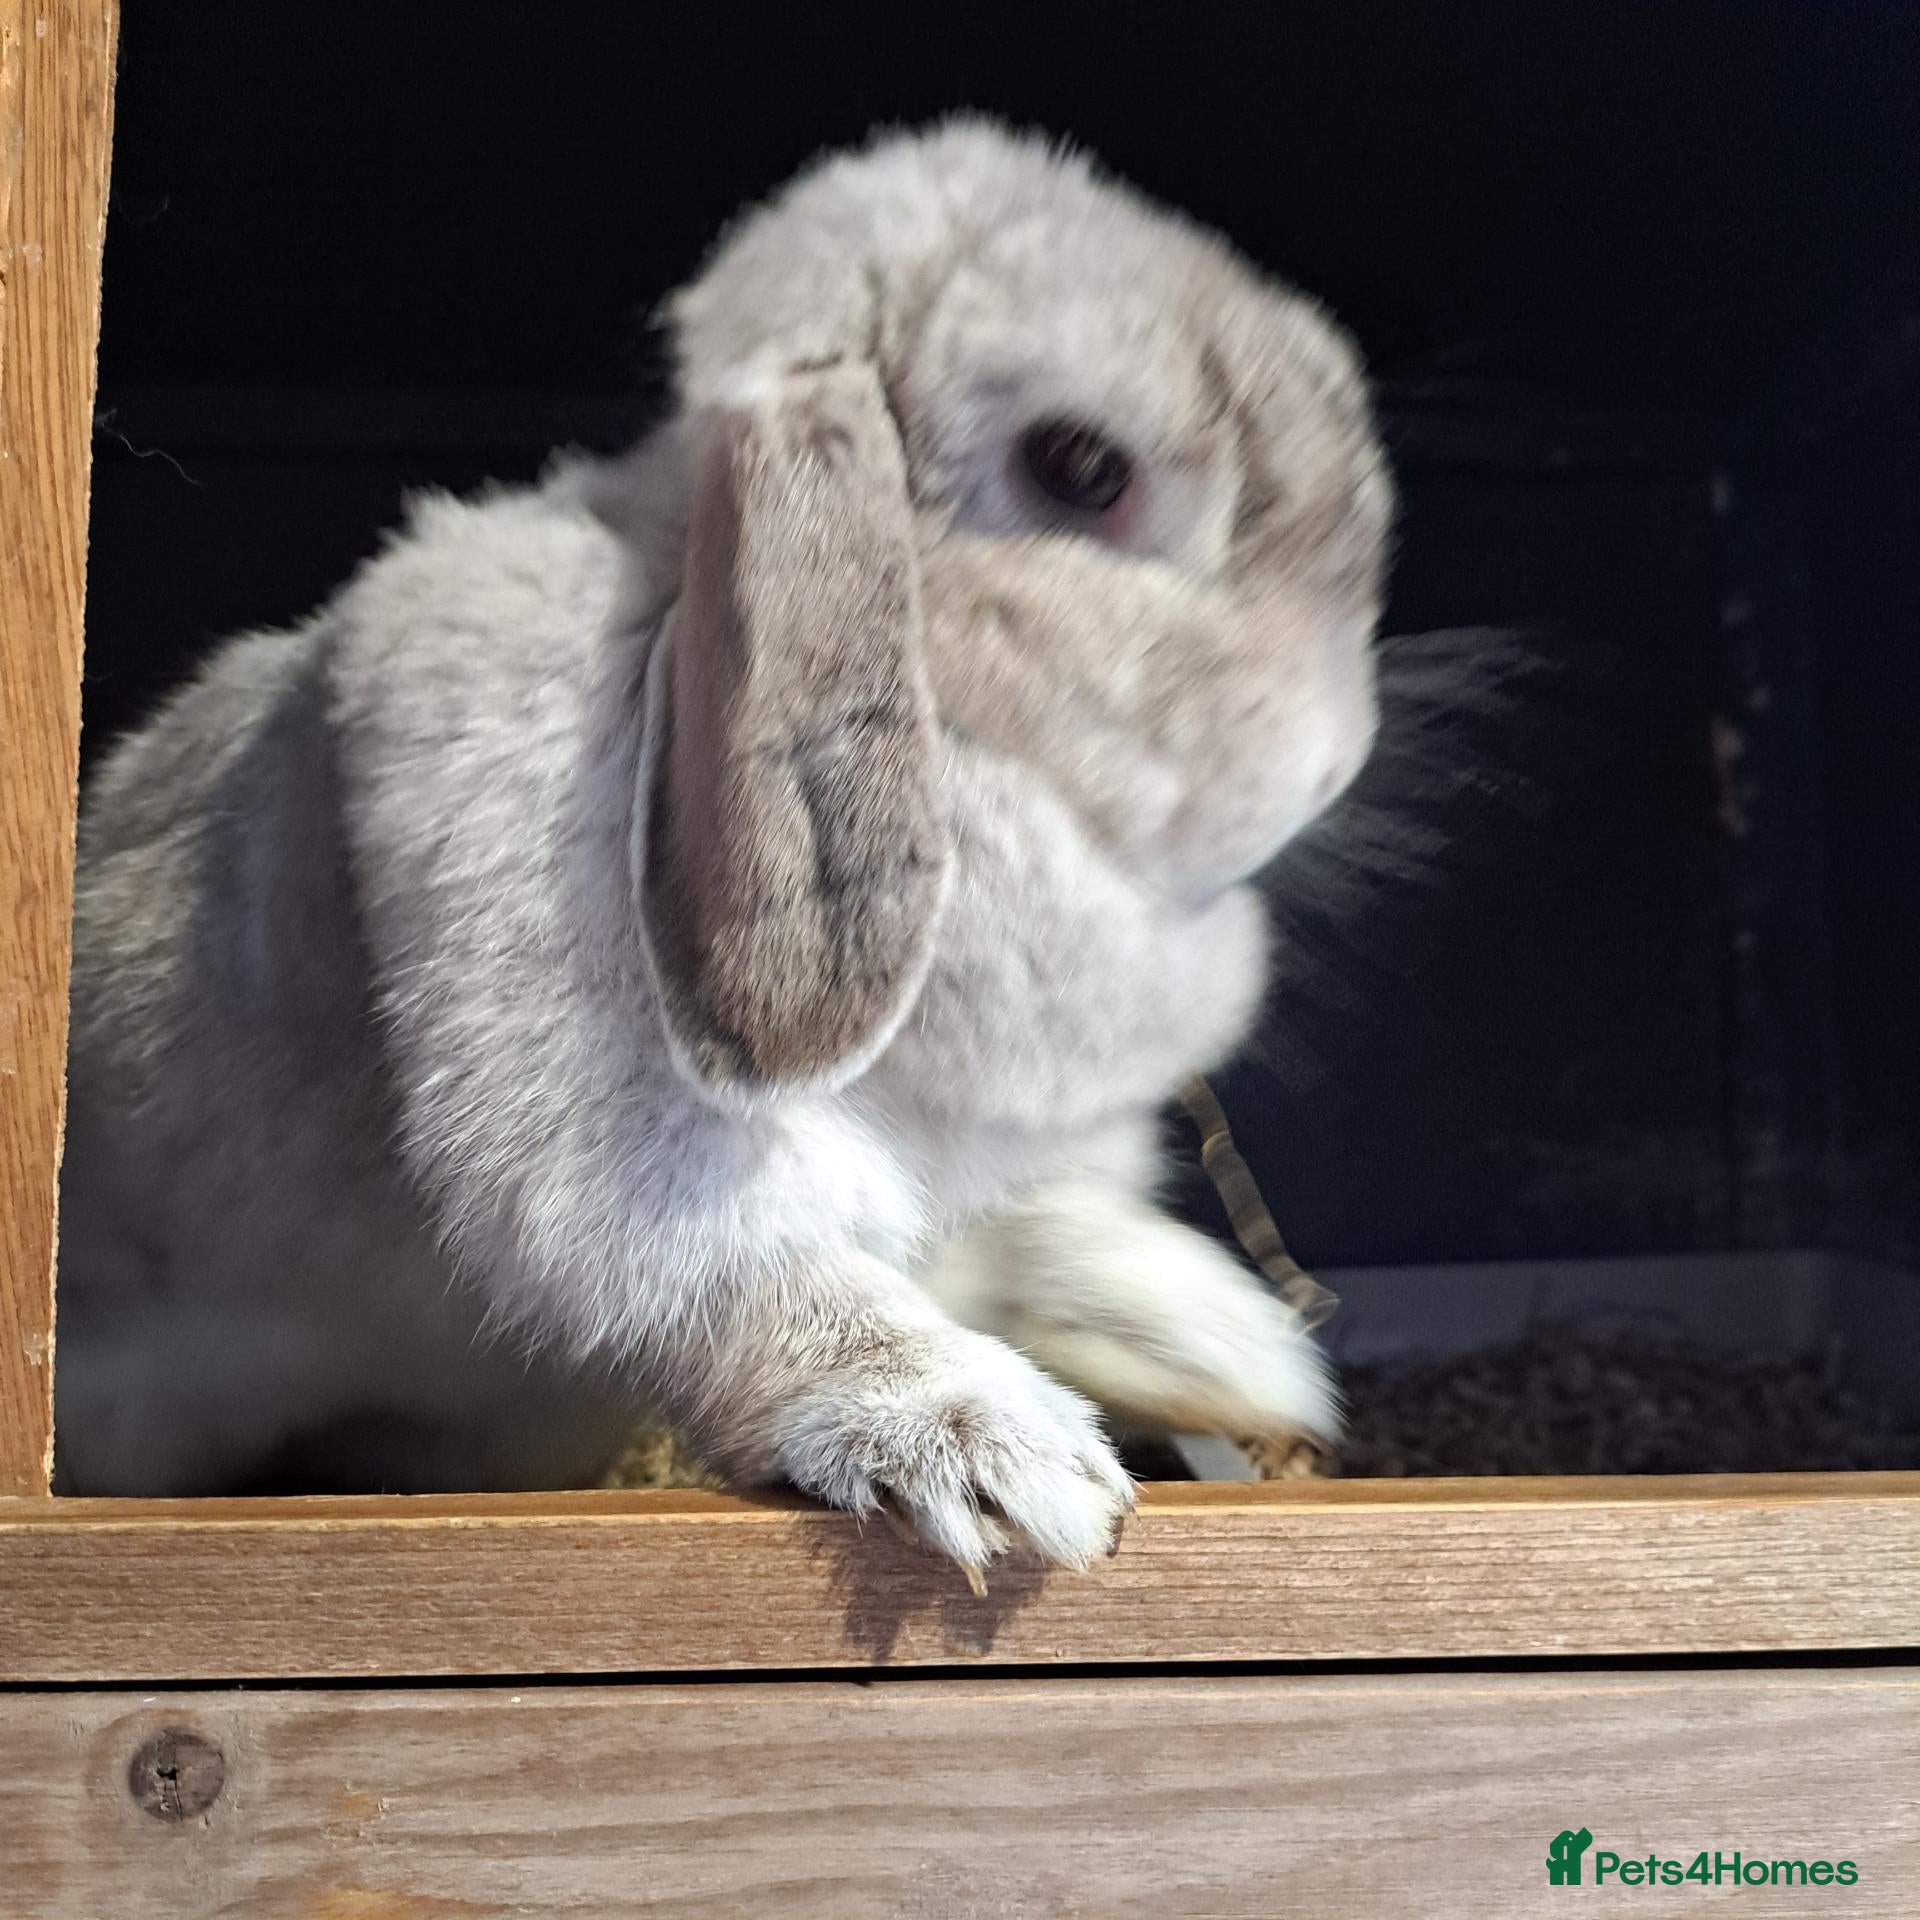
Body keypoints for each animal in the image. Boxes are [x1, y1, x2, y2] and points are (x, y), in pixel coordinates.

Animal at [54, 117, 1391, 1579]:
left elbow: (1016, 1232)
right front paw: (991, 1459)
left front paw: (1230, 1344)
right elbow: (770, 1285)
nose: (1335, 762)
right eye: (1081, 468)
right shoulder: (625, 1134)